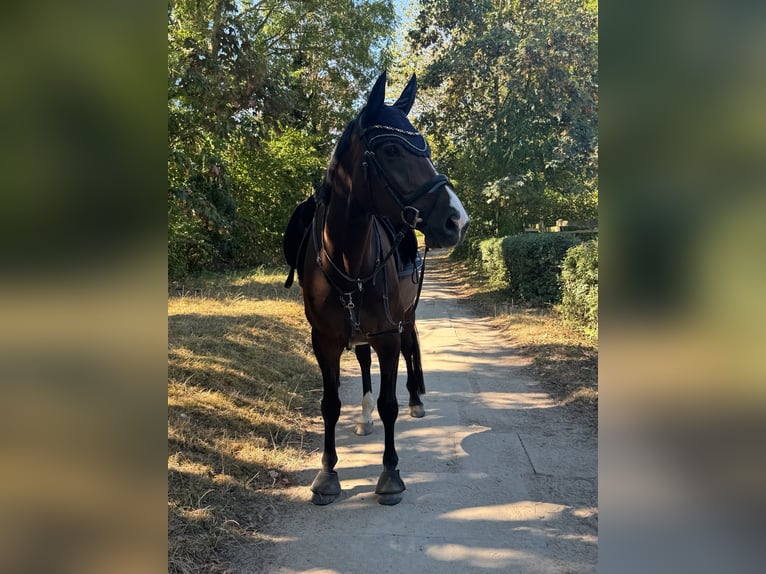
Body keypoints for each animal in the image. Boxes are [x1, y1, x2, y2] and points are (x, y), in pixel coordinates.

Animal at [295, 71, 468, 505]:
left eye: (426, 148)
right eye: (391, 149)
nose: (458, 220)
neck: (346, 260)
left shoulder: (388, 334)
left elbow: (391, 402)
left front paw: (390, 474)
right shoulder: (323, 340)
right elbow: (330, 404)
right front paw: (327, 473)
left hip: (403, 319)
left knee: (409, 351)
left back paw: (415, 402)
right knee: (362, 361)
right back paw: (364, 417)